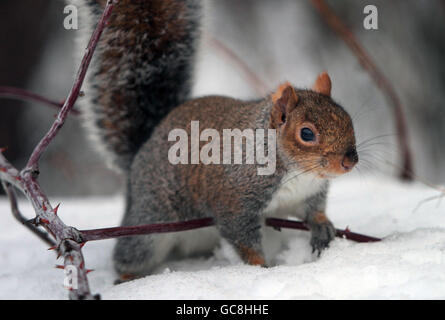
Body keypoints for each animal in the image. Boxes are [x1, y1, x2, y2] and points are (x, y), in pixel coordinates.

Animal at [73, 0, 358, 282]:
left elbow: (314, 211)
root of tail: (140, 154)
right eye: (306, 134)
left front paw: (322, 226)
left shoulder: (309, 193)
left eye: (348, 117)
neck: (299, 172)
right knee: (130, 254)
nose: (350, 161)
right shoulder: (235, 202)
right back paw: (127, 276)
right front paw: (261, 268)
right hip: (151, 222)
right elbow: (243, 239)